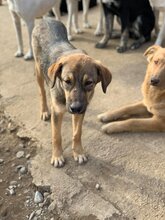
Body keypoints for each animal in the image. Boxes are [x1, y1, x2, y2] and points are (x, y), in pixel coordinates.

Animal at [31, 18, 112, 167]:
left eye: (89, 82)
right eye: (67, 81)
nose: (75, 108)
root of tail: (46, 19)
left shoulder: (81, 111)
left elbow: (77, 133)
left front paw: (78, 152)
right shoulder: (57, 112)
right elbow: (56, 136)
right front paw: (57, 156)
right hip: (38, 70)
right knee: (42, 93)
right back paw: (44, 110)